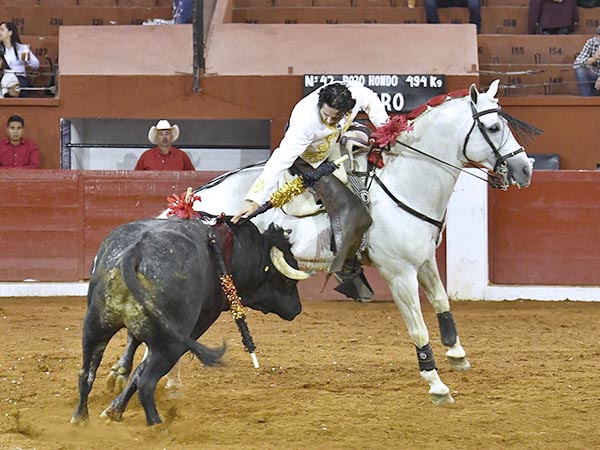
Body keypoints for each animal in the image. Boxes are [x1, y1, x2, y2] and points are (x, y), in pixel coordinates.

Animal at [71, 217, 304, 426]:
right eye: (286, 280)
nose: (297, 308)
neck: (232, 250)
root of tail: (135, 251)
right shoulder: (196, 327)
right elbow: (140, 369)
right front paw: (115, 408)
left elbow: (133, 344)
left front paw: (116, 391)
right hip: (170, 344)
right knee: (146, 382)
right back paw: (158, 425)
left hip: (95, 325)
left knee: (86, 373)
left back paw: (80, 418)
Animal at [186, 80, 528, 404]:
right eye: (494, 127)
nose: (524, 169)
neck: (405, 180)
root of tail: (195, 203)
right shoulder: (399, 272)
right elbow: (417, 326)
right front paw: (436, 384)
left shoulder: (424, 259)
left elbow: (442, 301)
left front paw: (456, 354)